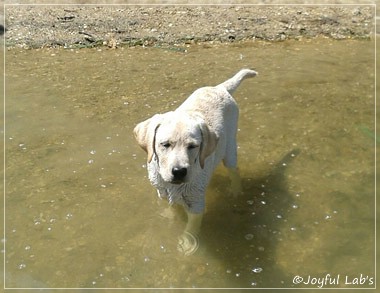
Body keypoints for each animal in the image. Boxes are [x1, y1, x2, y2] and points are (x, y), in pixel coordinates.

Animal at [133, 68, 255, 253]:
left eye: (192, 146)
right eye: (165, 144)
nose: (179, 172)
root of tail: (219, 88)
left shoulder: (196, 203)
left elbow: (192, 226)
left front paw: (187, 243)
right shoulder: (162, 191)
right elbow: (171, 207)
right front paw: (170, 216)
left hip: (229, 147)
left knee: (234, 169)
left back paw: (235, 190)